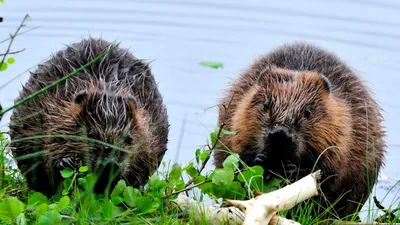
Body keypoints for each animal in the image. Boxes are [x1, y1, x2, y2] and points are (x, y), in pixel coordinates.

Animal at [9, 37, 169, 198]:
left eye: (129, 139)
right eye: (90, 134)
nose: (109, 164)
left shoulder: (150, 131)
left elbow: (143, 163)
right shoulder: (49, 109)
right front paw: (65, 162)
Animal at [214, 41, 386, 219]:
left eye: (307, 112)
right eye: (265, 105)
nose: (280, 134)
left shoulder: (346, 129)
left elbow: (331, 170)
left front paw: (293, 170)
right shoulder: (238, 115)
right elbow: (236, 156)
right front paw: (261, 159)